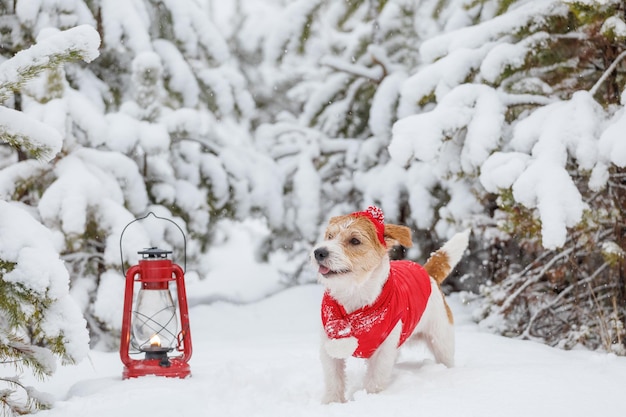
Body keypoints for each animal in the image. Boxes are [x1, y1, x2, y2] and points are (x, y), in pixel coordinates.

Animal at [312, 206, 468, 404]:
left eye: (354, 240)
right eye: (330, 236)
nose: (319, 252)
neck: (354, 295)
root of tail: (427, 273)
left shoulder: (383, 351)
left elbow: (375, 380)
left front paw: (371, 399)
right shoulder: (329, 345)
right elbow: (334, 379)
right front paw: (332, 403)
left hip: (442, 342)